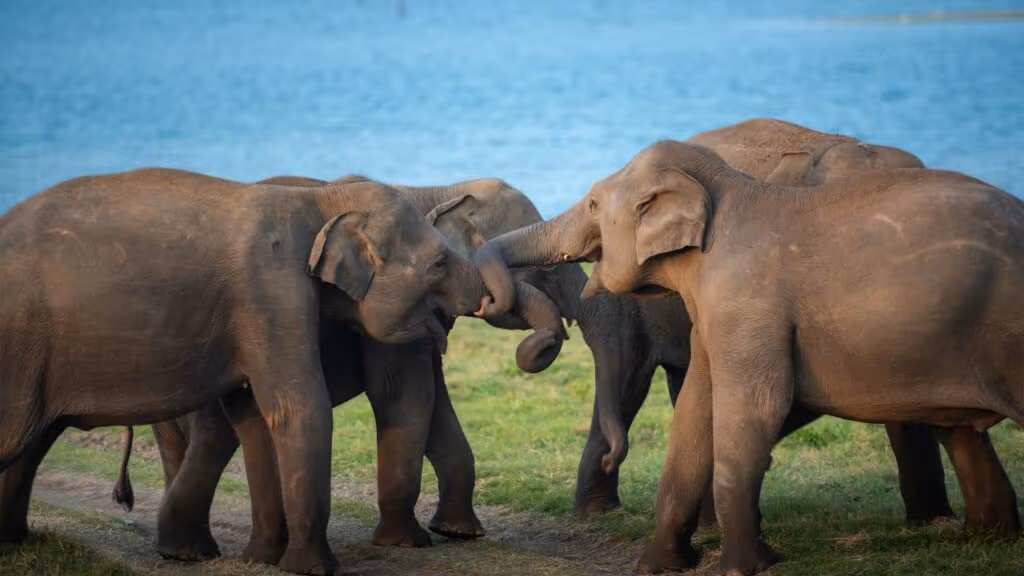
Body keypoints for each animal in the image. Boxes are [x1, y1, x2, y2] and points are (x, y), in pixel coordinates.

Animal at [0, 168, 492, 575]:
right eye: (439, 264)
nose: (484, 297)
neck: (320, 201)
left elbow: (254, 415)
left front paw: (263, 560)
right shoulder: (271, 290)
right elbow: (299, 408)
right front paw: (312, 569)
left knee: (33, 441)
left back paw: (23, 543)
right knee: (18, 437)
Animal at [109, 176, 577, 564]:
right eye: (548, 269)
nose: (545, 344)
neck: (435, 188)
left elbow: (434, 403)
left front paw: (457, 532)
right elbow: (406, 396)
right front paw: (408, 543)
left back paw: (190, 550)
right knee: (215, 433)